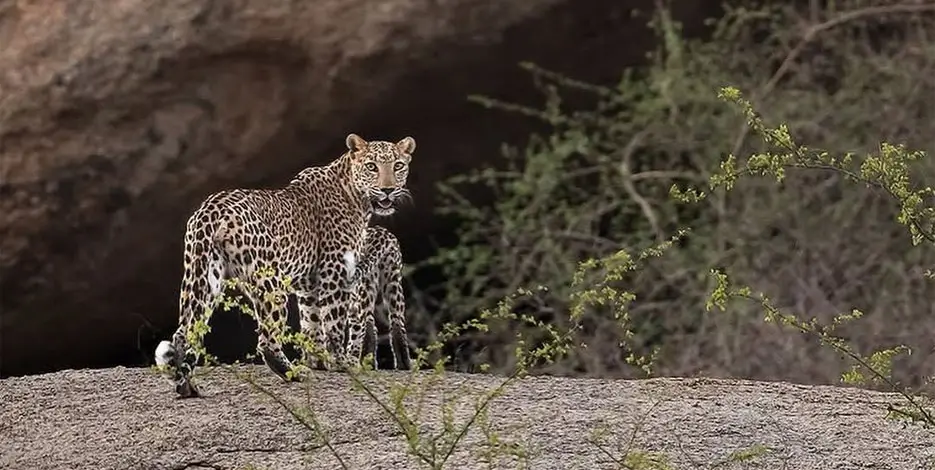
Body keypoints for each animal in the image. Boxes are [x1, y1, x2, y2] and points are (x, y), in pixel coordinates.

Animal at [351, 225, 413, 371]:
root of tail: (381, 233)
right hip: (393, 282)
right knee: (396, 323)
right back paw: (403, 363)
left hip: (364, 286)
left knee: (365, 325)